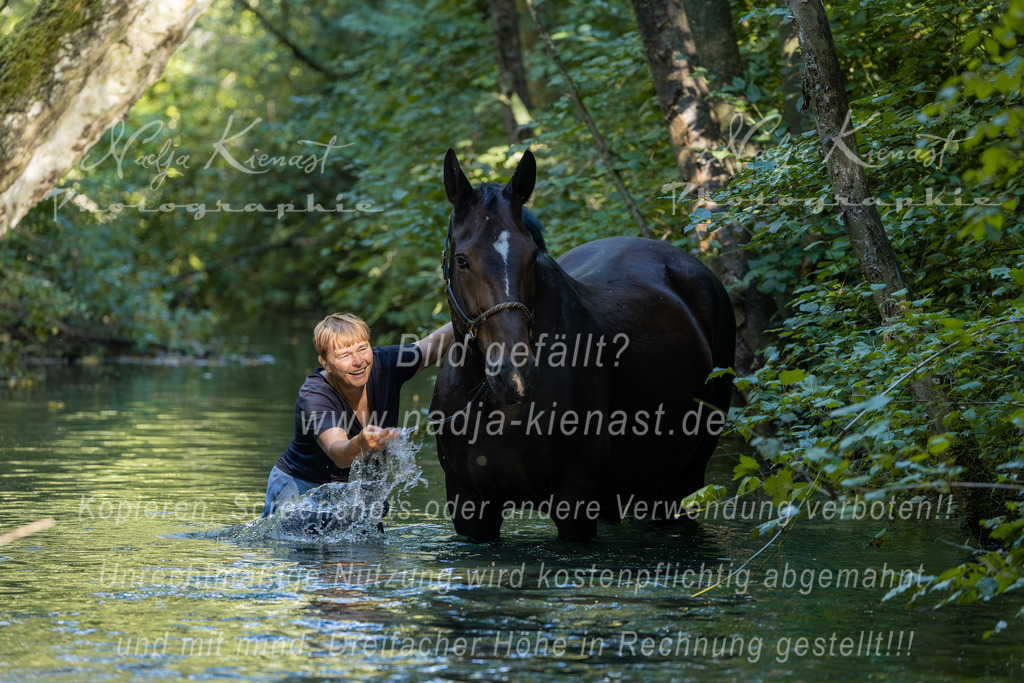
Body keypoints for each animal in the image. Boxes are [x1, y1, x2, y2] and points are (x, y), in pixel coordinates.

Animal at [430, 148, 735, 541]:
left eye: (532, 257)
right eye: (462, 260)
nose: (514, 375)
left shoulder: (574, 501)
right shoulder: (469, 505)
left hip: (679, 483)